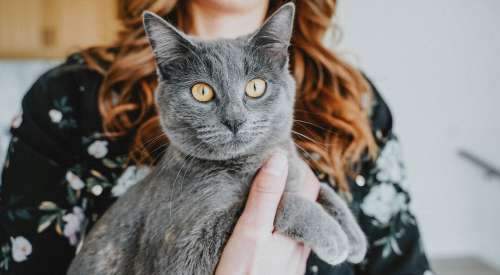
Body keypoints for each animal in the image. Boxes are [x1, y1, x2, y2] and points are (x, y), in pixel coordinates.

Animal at [67, 4, 368, 275]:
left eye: (256, 87)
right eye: (201, 91)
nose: (234, 119)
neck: (249, 164)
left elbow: (323, 188)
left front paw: (354, 237)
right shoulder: (183, 254)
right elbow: (274, 203)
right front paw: (333, 235)